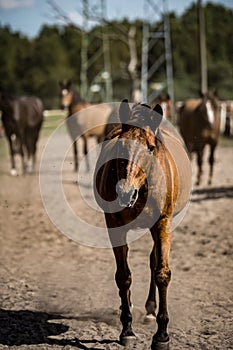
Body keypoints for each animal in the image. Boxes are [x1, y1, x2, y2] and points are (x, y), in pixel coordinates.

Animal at [93, 100, 192, 348]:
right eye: (121, 145)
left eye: (150, 147)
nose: (124, 192)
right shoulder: (114, 225)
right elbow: (123, 275)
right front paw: (127, 329)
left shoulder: (163, 223)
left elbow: (162, 273)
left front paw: (162, 335)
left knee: (153, 260)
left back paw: (149, 311)